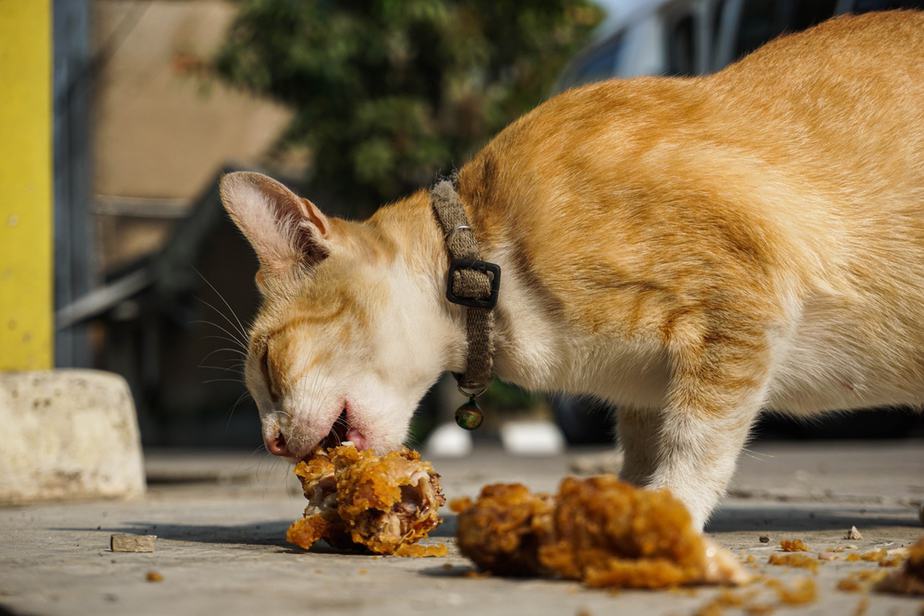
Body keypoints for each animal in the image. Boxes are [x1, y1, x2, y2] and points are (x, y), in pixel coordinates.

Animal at [222, 10, 924, 528]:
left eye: (267, 362)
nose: (271, 441)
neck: (488, 266)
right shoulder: (646, 391)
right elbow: (642, 447)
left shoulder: (743, 301)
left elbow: (697, 440)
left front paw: (666, 510)